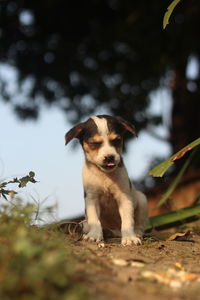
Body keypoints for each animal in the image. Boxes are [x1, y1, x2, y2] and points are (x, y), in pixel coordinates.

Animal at [65, 115, 148, 246]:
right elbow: (95, 220)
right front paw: (94, 235)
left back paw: (137, 233)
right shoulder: (92, 199)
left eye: (116, 140)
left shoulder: (124, 198)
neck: (104, 175)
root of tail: (115, 231)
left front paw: (129, 237)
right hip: (84, 223)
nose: (109, 157)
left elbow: (128, 221)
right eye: (94, 143)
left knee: (139, 225)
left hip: (142, 199)